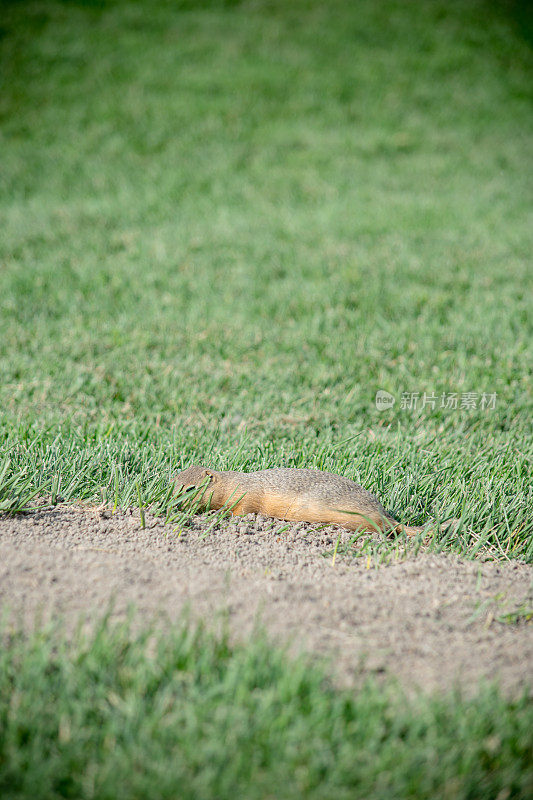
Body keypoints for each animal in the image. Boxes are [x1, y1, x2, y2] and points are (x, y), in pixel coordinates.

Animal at [174, 466, 440, 536]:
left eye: (192, 488)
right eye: (173, 484)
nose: (174, 505)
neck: (230, 482)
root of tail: (384, 513)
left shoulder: (246, 497)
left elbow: (242, 511)